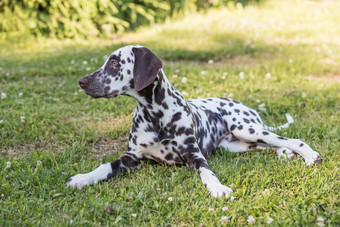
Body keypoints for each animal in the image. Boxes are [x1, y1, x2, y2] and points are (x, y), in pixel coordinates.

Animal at [67, 45, 322, 198]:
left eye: (114, 63)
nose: (81, 82)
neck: (156, 115)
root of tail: (246, 107)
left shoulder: (194, 155)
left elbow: (208, 173)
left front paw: (218, 188)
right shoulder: (132, 158)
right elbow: (104, 166)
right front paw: (82, 179)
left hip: (245, 128)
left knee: (290, 139)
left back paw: (308, 155)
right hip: (235, 145)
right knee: (269, 145)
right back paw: (284, 153)